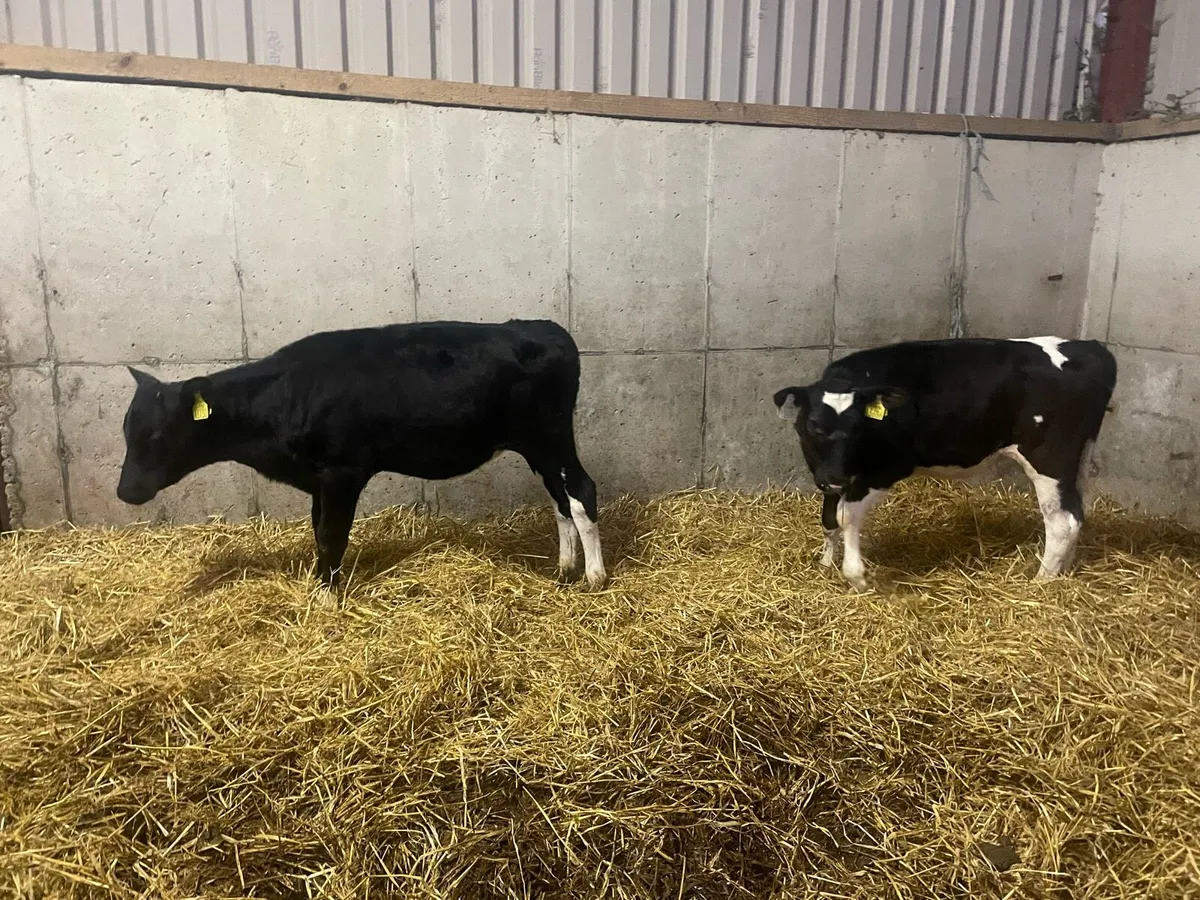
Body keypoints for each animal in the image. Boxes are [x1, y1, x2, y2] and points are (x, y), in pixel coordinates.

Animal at [117, 319, 606, 589]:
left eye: (157, 435)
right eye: (126, 430)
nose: (124, 492)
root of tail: (542, 327)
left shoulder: (342, 470)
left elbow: (332, 535)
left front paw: (326, 597)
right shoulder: (317, 477)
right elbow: (319, 531)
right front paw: (321, 585)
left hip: (550, 435)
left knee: (582, 490)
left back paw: (595, 577)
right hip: (537, 446)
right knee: (560, 498)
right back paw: (565, 568)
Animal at [773, 337, 1117, 592]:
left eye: (858, 426)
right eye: (814, 425)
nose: (835, 478)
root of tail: (1091, 348)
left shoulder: (884, 469)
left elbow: (846, 515)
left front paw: (856, 576)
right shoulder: (828, 471)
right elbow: (829, 518)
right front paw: (825, 565)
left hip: (1049, 457)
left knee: (1062, 521)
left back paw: (1041, 581)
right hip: (1077, 458)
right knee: (1076, 512)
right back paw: (1063, 571)